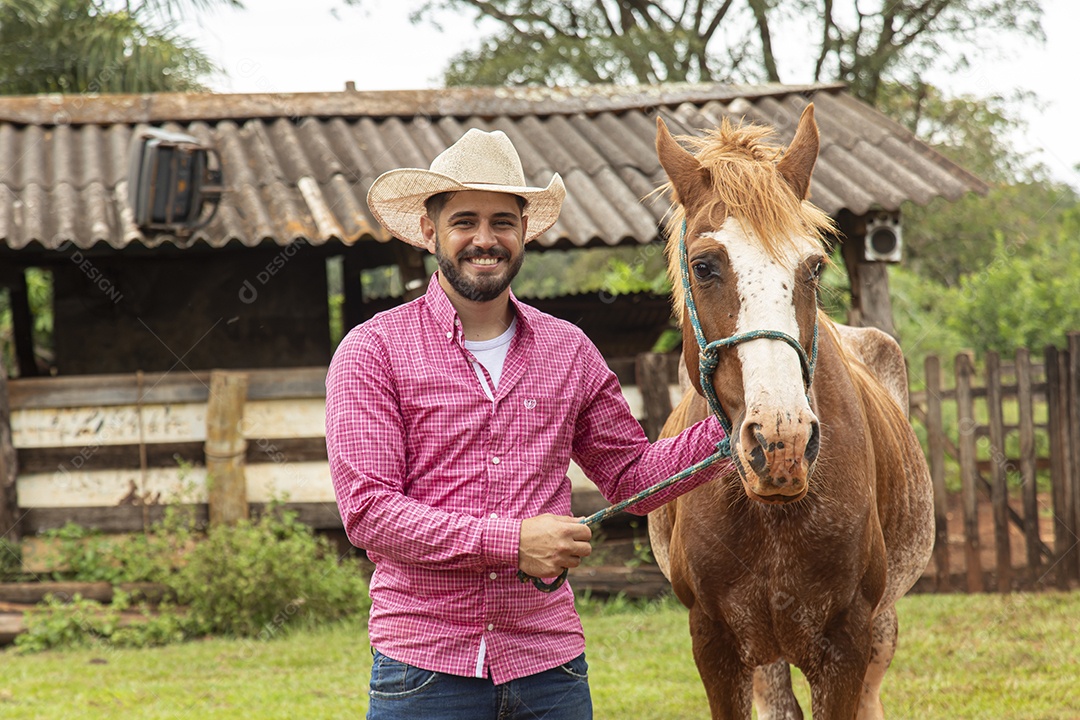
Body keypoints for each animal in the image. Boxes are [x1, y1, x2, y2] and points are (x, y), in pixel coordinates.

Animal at [643, 102, 933, 720]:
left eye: (814, 267)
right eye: (704, 266)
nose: (781, 442)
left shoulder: (848, 643)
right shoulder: (715, 642)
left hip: (881, 627)